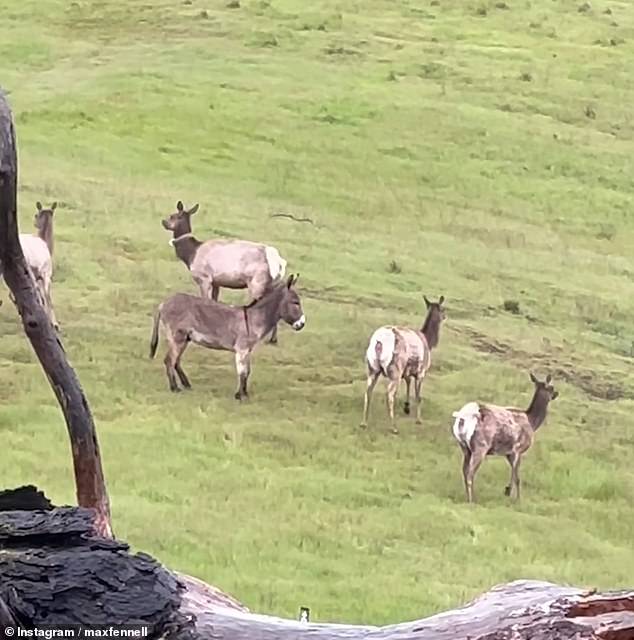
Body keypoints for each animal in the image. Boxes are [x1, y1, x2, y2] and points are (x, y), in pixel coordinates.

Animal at [149, 274, 304, 400]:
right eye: (295, 302)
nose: (302, 324)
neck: (253, 318)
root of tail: (163, 303)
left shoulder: (247, 350)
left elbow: (247, 371)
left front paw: (244, 394)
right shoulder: (241, 349)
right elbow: (242, 372)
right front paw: (240, 396)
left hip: (184, 338)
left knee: (176, 361)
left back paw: (186, 384)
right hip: (177, 337)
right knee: (169, 360)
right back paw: (175, 388)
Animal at [160, 202, 286, 348]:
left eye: (174, 216)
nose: (163, 222)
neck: (190, 254)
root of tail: (279, 263)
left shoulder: (204, 277)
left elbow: (205, 299)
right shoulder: (216, 281)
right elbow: (214, 300)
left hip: (257, 282)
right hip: (271, 283)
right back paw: (273, 339)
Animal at [360, 296, 444, 436]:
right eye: (443, 309)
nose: (445, 316)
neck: (428, 341)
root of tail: (379, 342)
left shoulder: (407, 371)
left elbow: (408, 382)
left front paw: (407, 407)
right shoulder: (421, 372)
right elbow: (418, 396)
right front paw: (418, 420)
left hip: (372, 368)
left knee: (368, 391)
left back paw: (364, 423)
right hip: (395, 371)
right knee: (389, 394)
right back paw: (394, 427)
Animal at [450, 372, 556, 502]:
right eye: (551, 388)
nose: (556, 393)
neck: (532, 422)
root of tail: (463, 416)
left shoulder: (508, 453)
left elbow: (514, 473)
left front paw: (508, 492)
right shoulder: (518, 449)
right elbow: (517, 476)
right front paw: (516, 497)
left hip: (464, 447)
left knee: (464, 472)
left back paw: (469, 496)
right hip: (481, 446)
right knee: (470, 473)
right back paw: (471, 500)